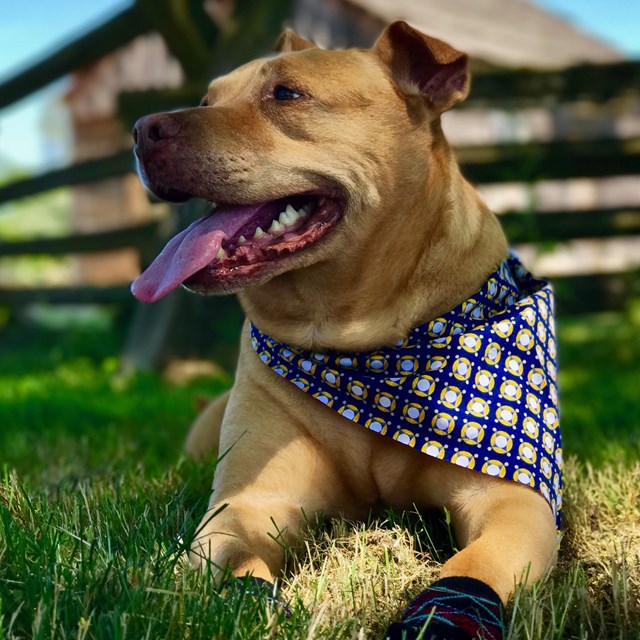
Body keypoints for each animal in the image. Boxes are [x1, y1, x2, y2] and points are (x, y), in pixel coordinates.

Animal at [132, 22, 556, 636]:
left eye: (286, 94)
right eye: (208, 99)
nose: (142, 129)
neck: (360, 342)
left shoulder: (511, 502)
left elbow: (473, 566)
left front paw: (439, 619)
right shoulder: (251, 502)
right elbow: (236, 561)